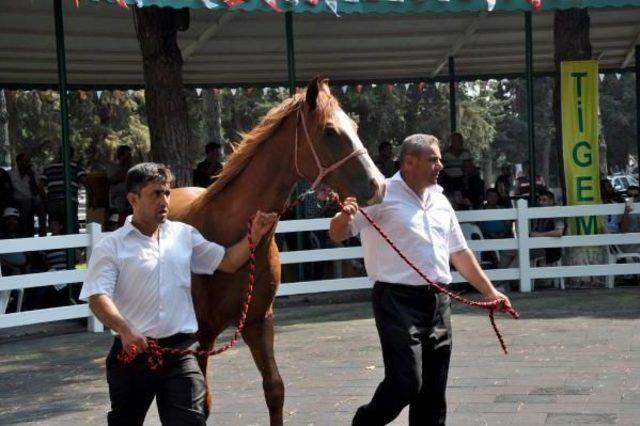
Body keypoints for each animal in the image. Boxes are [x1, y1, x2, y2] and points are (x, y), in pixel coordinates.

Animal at [170, 78, 384, 424]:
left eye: (354, 126)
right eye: (329, 131)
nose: (378, 186)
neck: (226, 233)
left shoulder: (259, 322)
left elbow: (274, 389)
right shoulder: (199, 333)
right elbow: (200, 404)